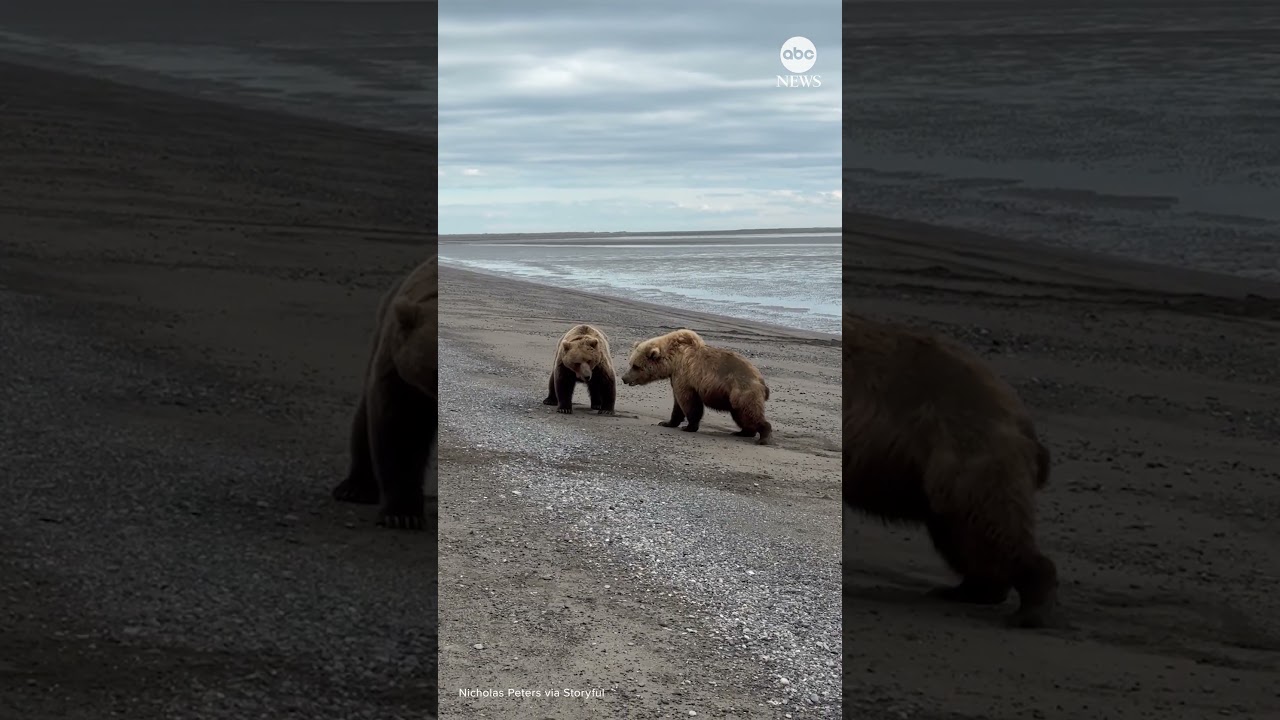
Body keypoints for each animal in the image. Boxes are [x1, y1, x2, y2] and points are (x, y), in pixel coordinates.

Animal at [331, 257, 437, 531]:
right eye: (435, 369)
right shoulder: (399, 373)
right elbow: (400, 427)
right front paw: (403, 514)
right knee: (363, 417)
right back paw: (354, 488)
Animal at [620, 328, 773, 445]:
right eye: (631, 363)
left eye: (636, 366)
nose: (624, 378)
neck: (673, 360)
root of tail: (761, 381)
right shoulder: (676, 377)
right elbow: (677, 403)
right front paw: (667, 422)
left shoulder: (685, 376)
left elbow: (688, 402)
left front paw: (689, 426)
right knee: (741, 415)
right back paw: (743, 432)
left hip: (742, 391)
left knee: (750, 412)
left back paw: (763, 437)